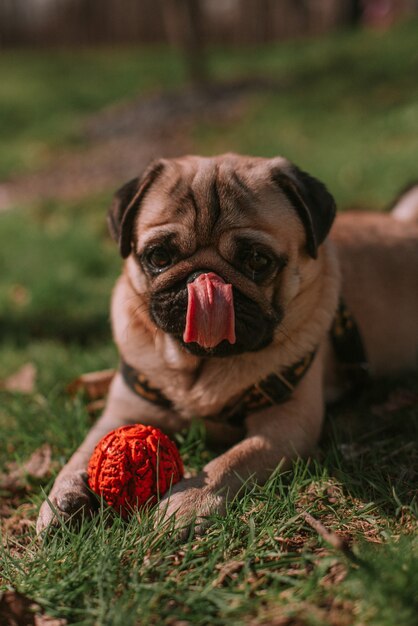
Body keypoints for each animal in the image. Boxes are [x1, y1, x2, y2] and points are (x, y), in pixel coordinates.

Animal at [35, 154, 418, 532]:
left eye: (257, 261)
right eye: (159, 257)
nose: (204, 277)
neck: (200, 370)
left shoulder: (285, 426)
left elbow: (230, 461)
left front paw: (187, 501)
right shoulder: (121, 413)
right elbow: (82, 454)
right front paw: (64, 497)